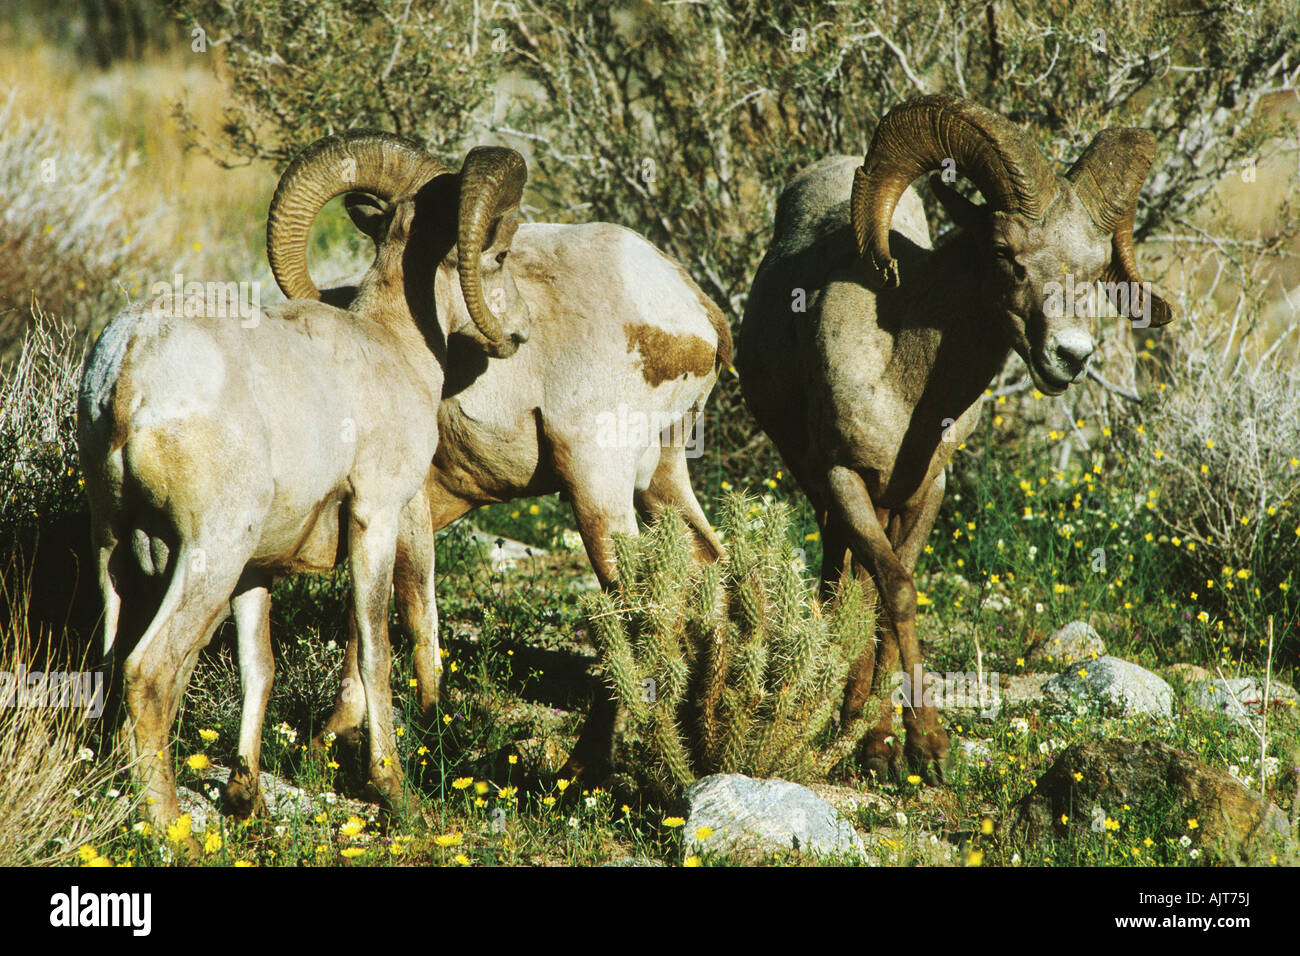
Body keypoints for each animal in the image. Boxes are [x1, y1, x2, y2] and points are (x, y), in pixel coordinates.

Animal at [76, 128, 530, 837]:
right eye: (500, 252)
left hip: (116, 548)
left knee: (111, 660)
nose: (517, 335)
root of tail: (127, 368)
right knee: (149, 673)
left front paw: (247, 799)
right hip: (208, 553)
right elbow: (375, 648)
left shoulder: (258, 573)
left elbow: (257, 667)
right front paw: (393, 790)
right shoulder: (376, 518)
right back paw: (172, 826)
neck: (395, 347)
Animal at [260, 138, 738, 780]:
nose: (518, 332)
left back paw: (581, 770)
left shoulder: (403, 509)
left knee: (634, 611)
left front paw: (426, 731)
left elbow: (410, 612)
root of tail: (697, 315)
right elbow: (369, 622)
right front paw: (330, 739)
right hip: (660, 481)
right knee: (710, 571)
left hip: (598, 491)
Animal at [738, 95, 1175, 785]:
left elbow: (890, 597)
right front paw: (915, 746)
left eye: (1096, 268)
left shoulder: (927, 489)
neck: (904, 384)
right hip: (823, 490)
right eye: (1003, 251)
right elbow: (895, 591)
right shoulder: (844, 479)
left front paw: (891, 747)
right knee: (840, 579)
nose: (1070, 356)